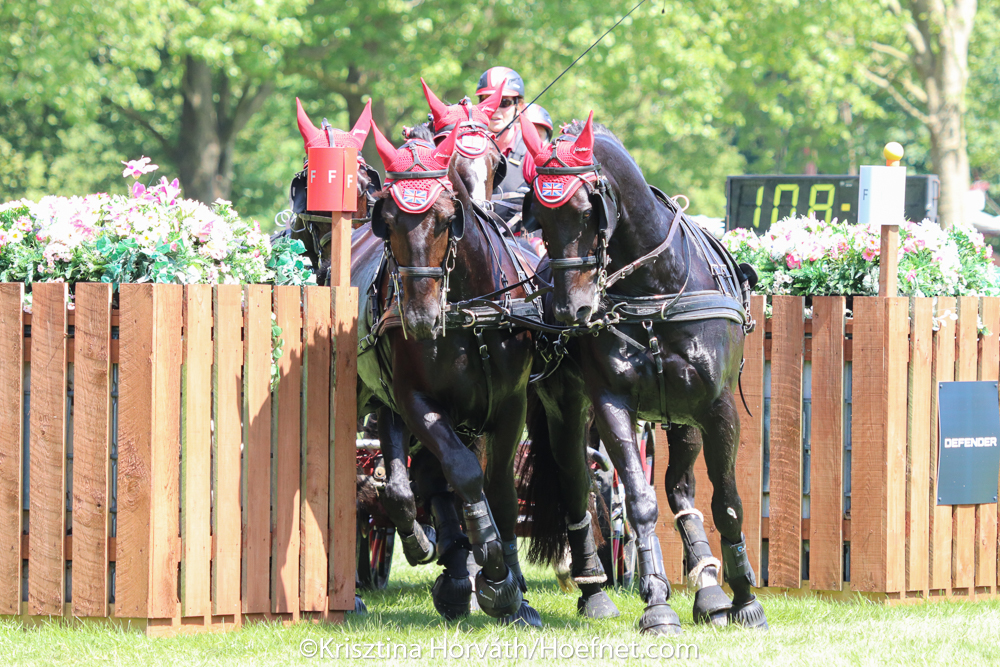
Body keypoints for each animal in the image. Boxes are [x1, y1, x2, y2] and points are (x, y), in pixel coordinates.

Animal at [517, 112, 767, 633]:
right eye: (541, 218)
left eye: (587, 211)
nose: (570, 310)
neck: (656, 289)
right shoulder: (611, 403)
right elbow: (638, 499)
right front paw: (656, 602)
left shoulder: (715, 408)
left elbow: (726, 504)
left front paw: (745, 599)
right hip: (567, 410)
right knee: (579, 484)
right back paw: (594, 588)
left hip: (682, 418)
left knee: (681, 487)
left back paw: (709, 587)